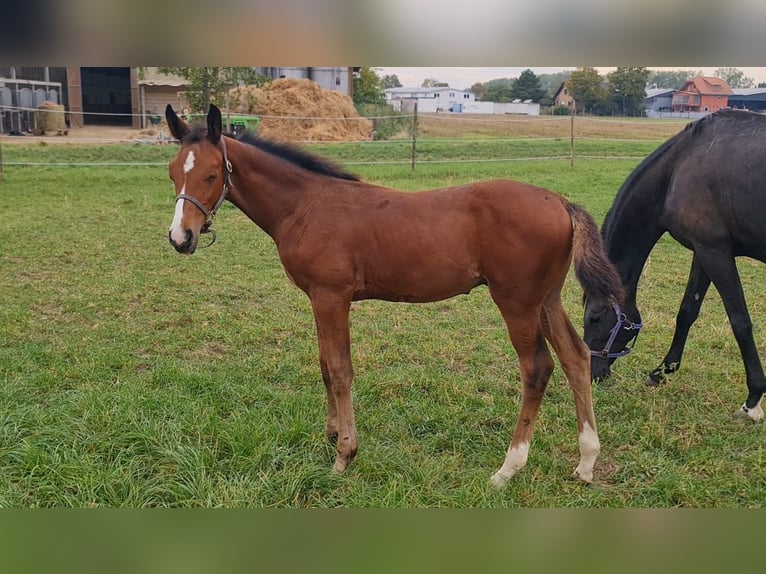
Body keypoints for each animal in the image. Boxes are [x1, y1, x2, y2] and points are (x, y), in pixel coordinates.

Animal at [165, 104, 628, 490]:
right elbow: (323, 365)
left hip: (516, 302)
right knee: (575, 357)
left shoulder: (331, 296)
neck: (307, 206)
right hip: (547, 299)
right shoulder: (318, 298)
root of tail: (561, 201)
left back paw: (507, 469)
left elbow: (339, 369)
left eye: (211, 174)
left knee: (537, 368)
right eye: (172, 173)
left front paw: (344, 455)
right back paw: (586, 462)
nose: (180, 238)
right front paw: (331, 434)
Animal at [584, 109, 764, 424]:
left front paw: (752, 401)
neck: (680, 164)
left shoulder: (715, 251)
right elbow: (687, 311)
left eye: (594, 318)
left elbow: (740, 322)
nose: (593, 375)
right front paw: (661, 372)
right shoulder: (703, 251)